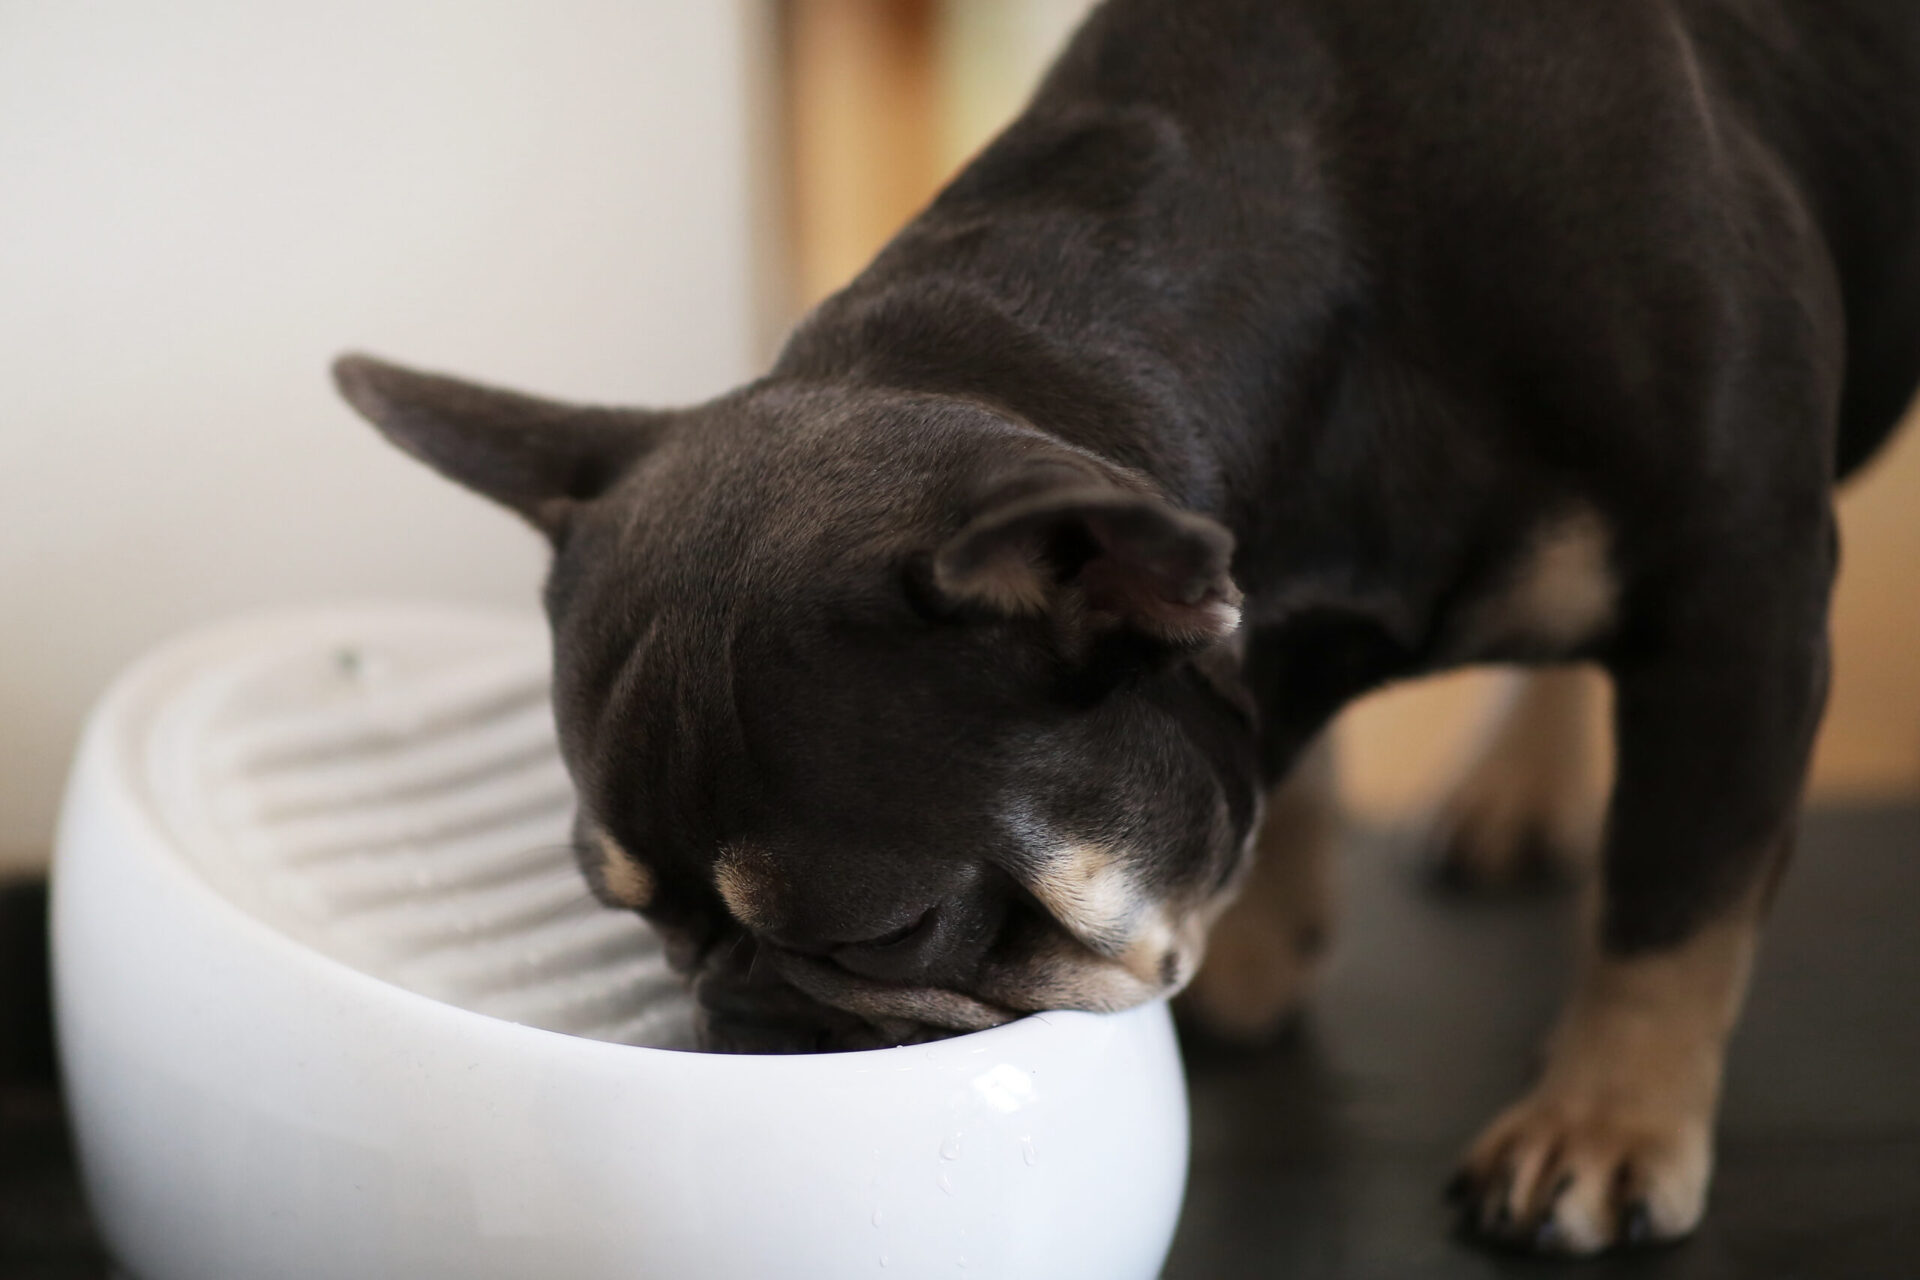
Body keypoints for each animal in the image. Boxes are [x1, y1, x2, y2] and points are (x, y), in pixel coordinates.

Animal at [330, 0, 1920, 1258]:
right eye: (634, 915)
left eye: (889, 931)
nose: (736, 1018)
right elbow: (1267, 763)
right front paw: (1264, 936)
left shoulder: (1740, 604)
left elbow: (1675, 898)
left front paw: (1602, 1122)